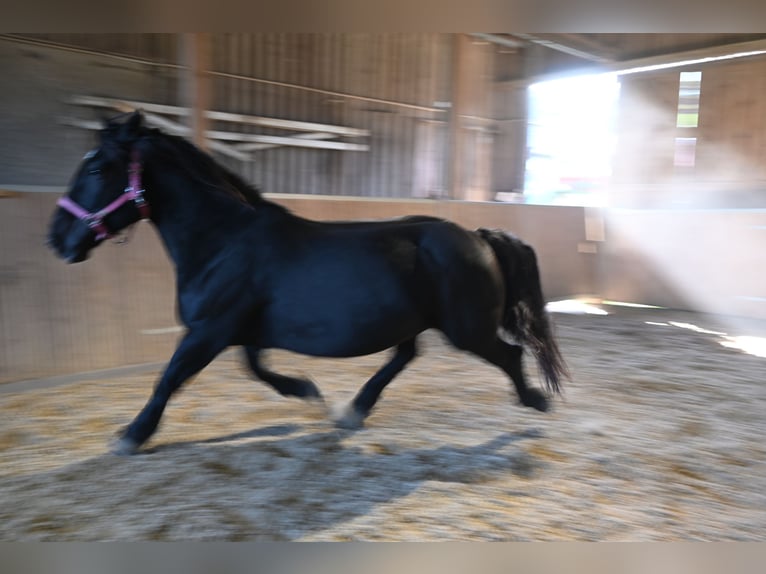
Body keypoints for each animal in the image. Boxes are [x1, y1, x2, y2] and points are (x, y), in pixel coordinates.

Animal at [48, 111, 568, 455]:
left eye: (97, 168)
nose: (57, 238)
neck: (223, 241)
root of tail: (478, 236)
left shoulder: (208, 331)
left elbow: (170, 379)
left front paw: (131, 435)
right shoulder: (239, 331)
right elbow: (256, 369)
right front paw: (307, 391)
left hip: (466, 329)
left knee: (509, 355)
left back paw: (535, 402)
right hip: (412, 321)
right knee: (405, 356)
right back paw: (353, 411)